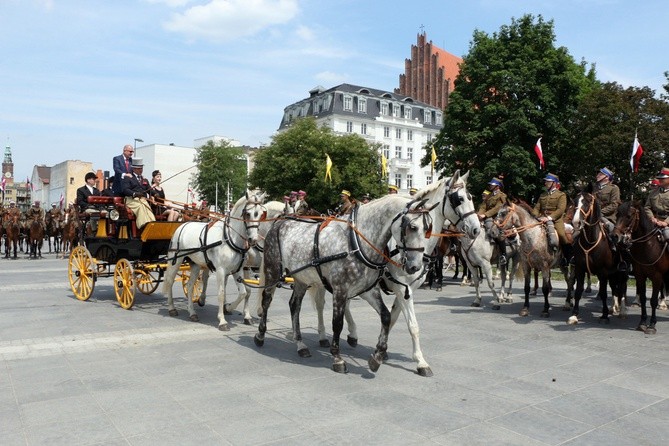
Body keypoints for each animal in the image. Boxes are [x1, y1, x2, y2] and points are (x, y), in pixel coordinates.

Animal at [162, 190, 266, 330]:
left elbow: (243, 293)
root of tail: (183, 224)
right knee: (170, 281)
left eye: (261, 214)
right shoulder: (221, 270)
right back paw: (172, 308)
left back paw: (192, 313)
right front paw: (222, 320)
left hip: (195, 264)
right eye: (247, 213)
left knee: (189, 286)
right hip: (176, 261)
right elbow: (221, 294)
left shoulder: (236, 270)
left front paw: (229, 308)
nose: (253, 240)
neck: (229, 238)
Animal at [568, 191, 628, 324]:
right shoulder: (580, 269)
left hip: (621, 272)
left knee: (622, 289)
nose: (576, 222)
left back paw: (622, 311)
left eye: (587, 202)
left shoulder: (603, 272)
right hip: (613, 274)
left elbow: (604, 293)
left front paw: (604, 316)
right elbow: (578, 291)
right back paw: (614, 308)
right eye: (575, 202)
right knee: (615, 289)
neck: (590, 241)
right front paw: (574, 314)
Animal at [612, 202, 668, 334]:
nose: (615, 236)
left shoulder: (657, 277)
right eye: (617, 214)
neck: (649, 246)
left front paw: (652, 325)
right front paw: (642, 323)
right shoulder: (640, 275)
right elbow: (642, 298)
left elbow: (653, 300)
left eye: (629, 216)